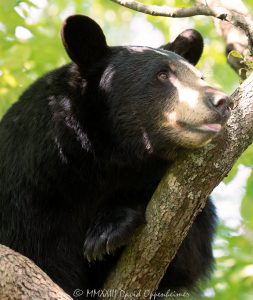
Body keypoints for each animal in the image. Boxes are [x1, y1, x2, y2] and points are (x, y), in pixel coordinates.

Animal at [0, 14, 232, 300]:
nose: (222, 102)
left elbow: (187, 252)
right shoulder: (30, 187)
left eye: (200, 77)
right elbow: (40, 255)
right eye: (163, 74)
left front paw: (108, 229)